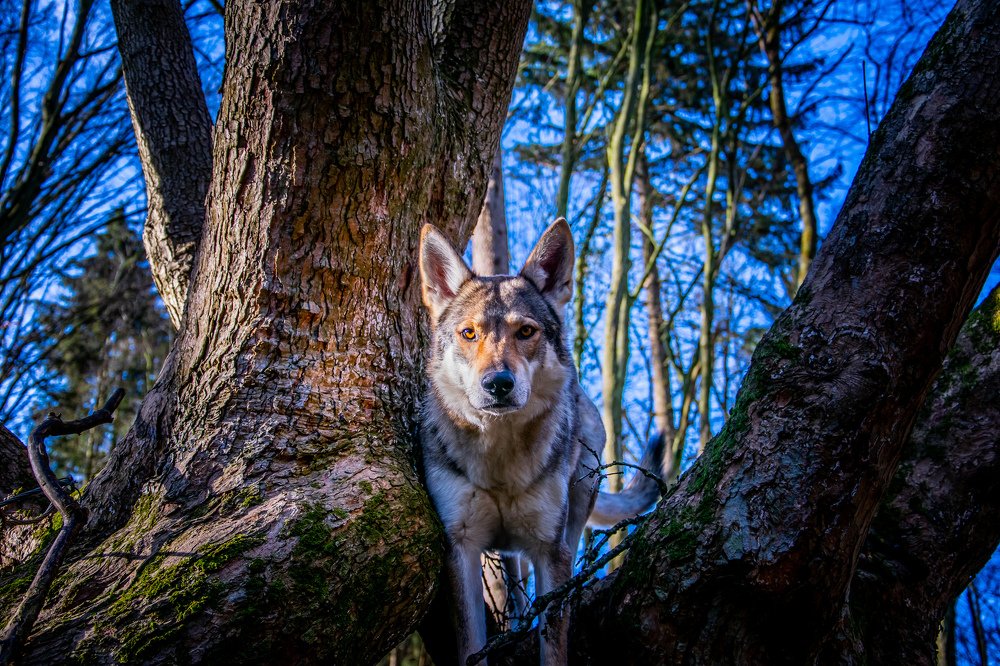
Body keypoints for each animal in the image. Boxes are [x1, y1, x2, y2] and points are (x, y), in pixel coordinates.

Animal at [419, 218, 665, 666]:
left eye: (526, 332)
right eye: (469, 333)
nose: (498, 384)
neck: (499, 462)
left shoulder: (550, 552)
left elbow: (553, 643)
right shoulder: (460, 548)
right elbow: (471, 647)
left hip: (576, 506)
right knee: (515, 586)